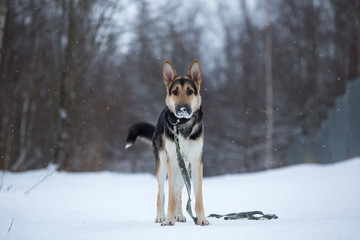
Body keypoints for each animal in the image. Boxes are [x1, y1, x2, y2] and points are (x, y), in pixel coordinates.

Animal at [125, 59, 208, 225]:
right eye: (175, 92)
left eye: (190, 91)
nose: (182, 109)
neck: (182, 125)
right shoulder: (172, 162)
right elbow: (169, 196)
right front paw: (169, 220)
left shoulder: (196, 163)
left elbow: (197, 196)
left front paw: (201, 219)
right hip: (163, 164)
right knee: (162, 193)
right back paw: (161, 216)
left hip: (185, 167)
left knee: (179, 191)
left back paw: (180, 215)